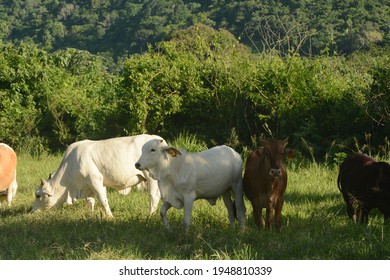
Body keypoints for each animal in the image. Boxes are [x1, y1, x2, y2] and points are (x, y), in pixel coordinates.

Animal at [33, 135, 166, 215]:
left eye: (38, 195)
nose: (32, 210)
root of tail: (158, 139)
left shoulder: (95, 180)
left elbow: (102, 199)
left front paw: (110, 216)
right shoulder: (89, 185)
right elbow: (90, 201)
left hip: (151, 178)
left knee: (153, 196)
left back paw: (151, 214)